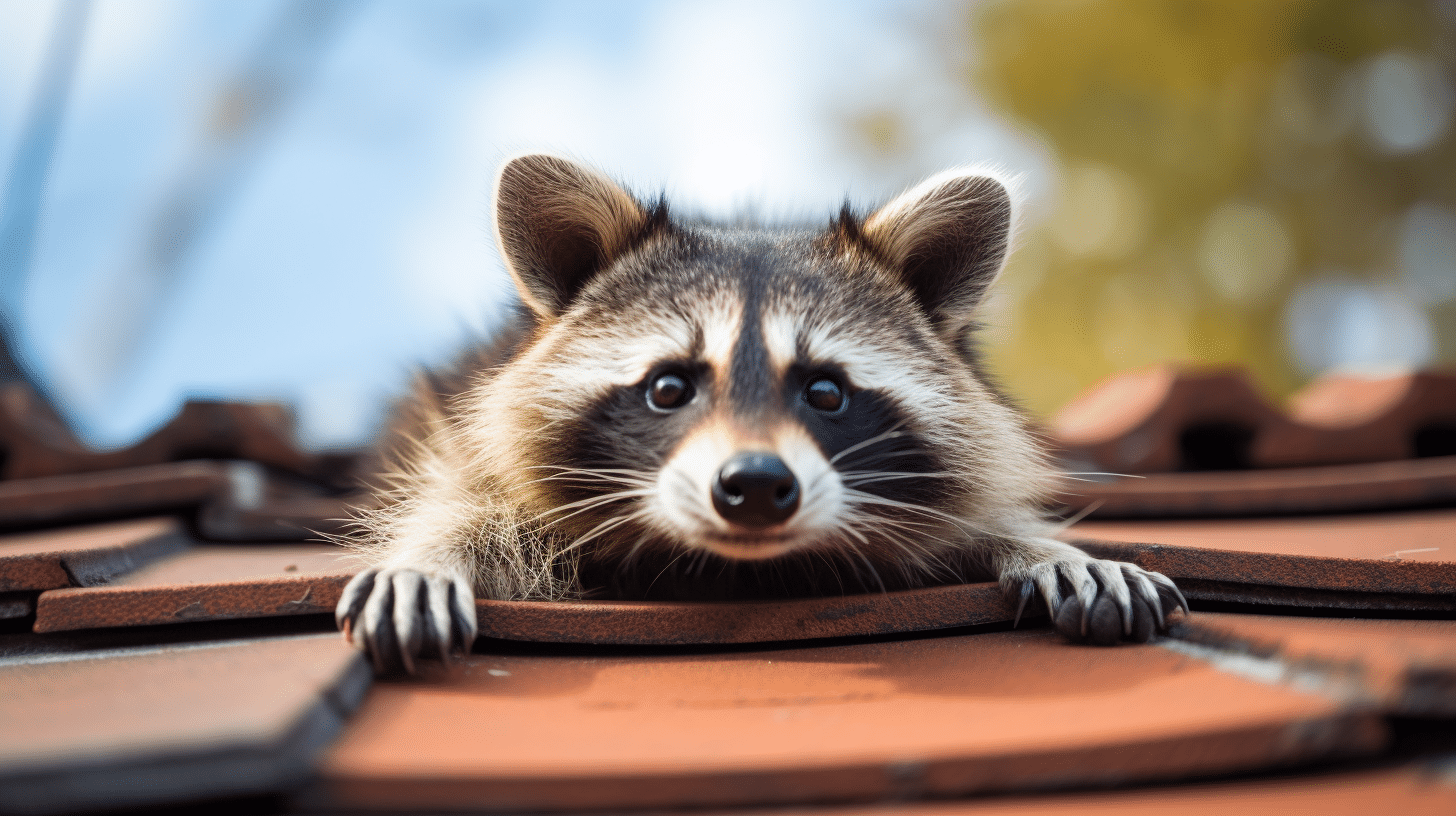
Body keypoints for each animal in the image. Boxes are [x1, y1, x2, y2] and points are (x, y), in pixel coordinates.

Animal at [335, 154, 1186, 673]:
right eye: (669, 388)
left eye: (826, 393)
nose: (752, 486)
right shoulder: (466, 436)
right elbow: (476, 505)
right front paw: (432, 550)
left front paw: (1031, 543)